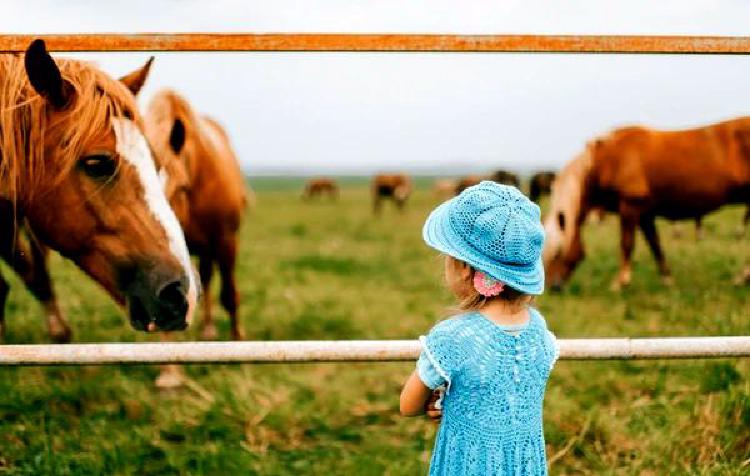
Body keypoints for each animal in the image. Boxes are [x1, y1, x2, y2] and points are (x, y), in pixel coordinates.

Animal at [544, 120, 750, 290]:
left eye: (557, 252)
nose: (554, 287)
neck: (606, 161)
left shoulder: (630, 206)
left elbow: (627, 244)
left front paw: (620, 283)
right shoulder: (645, 214)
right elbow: (655, 245)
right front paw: (667, 280)